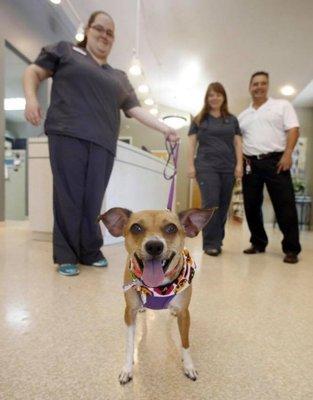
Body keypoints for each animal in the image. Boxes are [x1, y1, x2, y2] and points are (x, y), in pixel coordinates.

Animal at [98, 208, 213, 382]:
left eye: (171, 228)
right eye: (136, 228)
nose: (154, 246)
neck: (157, 288)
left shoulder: (185, 314)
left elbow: (185, 343)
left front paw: (188, 366)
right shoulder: (129, 313)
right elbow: (129, 344)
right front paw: (127, 368)